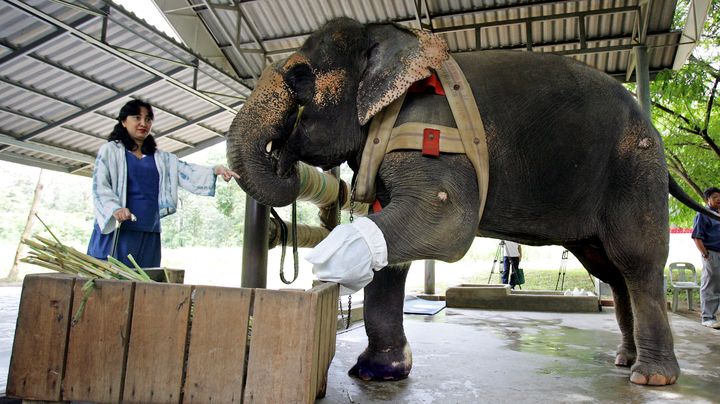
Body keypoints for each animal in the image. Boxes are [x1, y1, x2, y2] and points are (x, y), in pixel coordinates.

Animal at [226, 17, 716, 386]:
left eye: (298, 76)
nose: (284, 159)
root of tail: (652, 132)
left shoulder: (430, 127)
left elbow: (443, 221)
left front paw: (330, 263)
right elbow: (390, 242)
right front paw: (376, 373)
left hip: (634, 169)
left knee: (636, 262)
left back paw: (651, 377)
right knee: (610, 271)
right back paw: (624, 359)